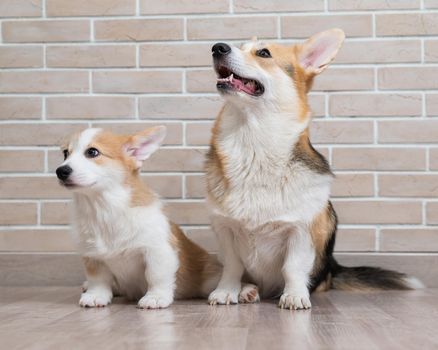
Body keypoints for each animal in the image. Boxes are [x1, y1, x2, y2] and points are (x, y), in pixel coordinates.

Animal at [56, 127, 229, 308]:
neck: (104, 209)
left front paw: (156, 297)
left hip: (208, 279)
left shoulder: (157, 250)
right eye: (65, 153)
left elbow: (156, 276)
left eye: (92, 152)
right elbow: (98, 279)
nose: (60, 171)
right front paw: (96, 295)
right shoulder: (93, 256)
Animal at [205, 29, 424, 308]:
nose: (217, 47)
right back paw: (248, 291)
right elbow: (232, 267)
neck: (253, 140)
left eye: (263, 53)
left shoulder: (301, 230)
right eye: (238, 46)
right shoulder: (225, 229)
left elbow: (293, 267)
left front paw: (294, 296)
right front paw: (227, 291)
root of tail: (333, 268)